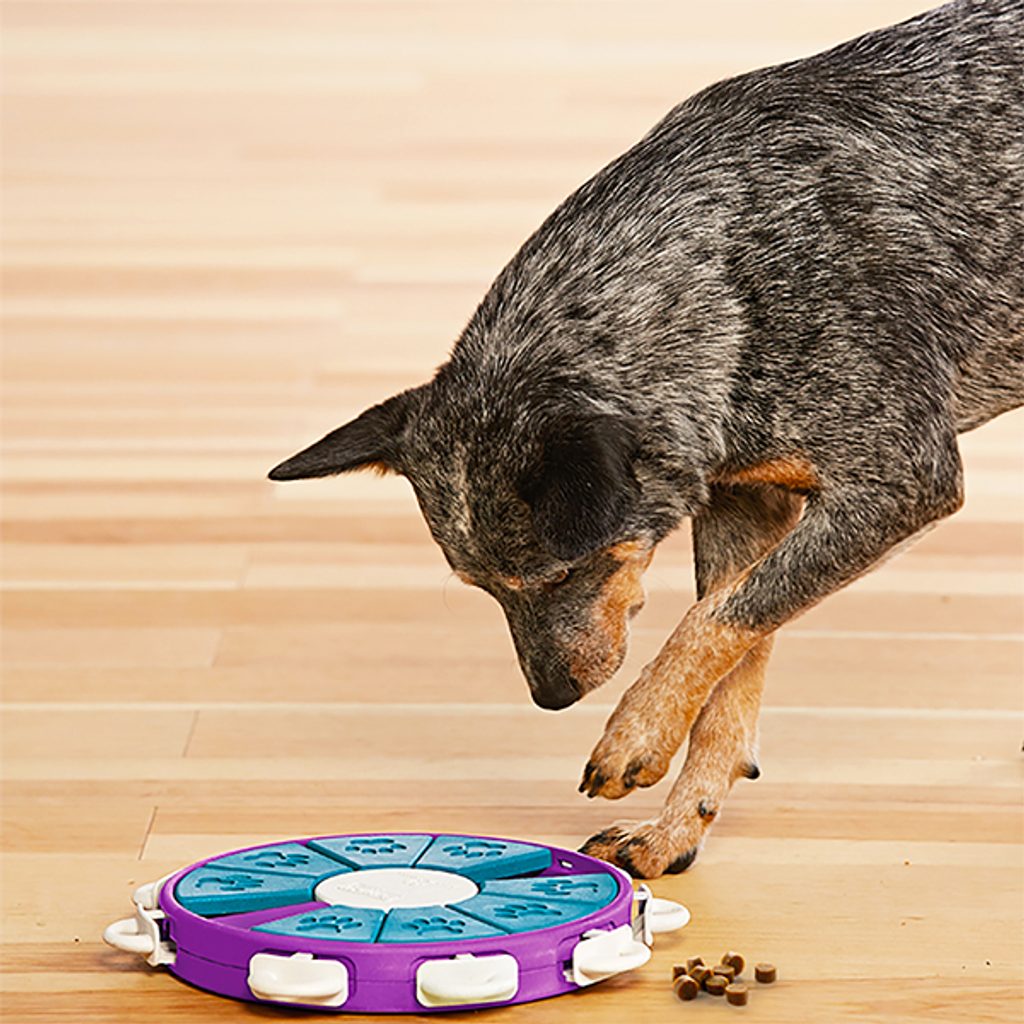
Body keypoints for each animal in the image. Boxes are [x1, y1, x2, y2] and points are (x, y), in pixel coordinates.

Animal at [270, 2, 1024, 880]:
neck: (727, 270)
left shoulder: (902, 482)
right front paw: (676, 827)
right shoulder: (745, 499)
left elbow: (717, 619)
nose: (551, 698)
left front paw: (634, 733)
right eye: (482, 590)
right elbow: (733, 657)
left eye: (567, 572)